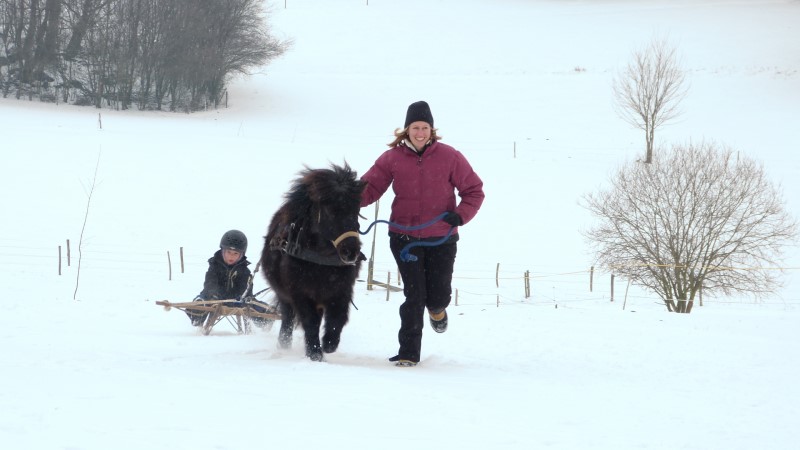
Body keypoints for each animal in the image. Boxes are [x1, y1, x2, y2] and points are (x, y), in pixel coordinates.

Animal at [260, 163, 366, 361]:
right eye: (331, 211)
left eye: (356, 211)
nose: (351, 252)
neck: (322, 260)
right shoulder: (300, 293)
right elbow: (310, 322)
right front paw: (315, 353)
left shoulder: (342, 291)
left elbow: (338, 318)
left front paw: (329, 344)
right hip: (284, 295)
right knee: (288, 316)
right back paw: (283, 344)